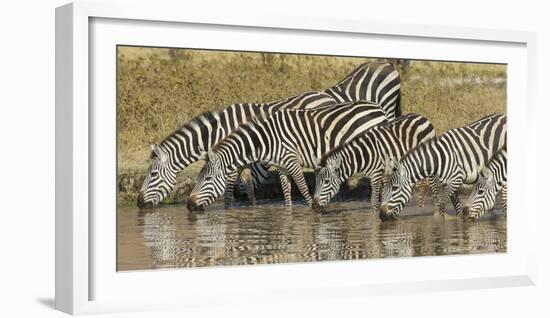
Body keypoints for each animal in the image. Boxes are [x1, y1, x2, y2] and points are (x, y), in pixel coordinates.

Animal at [137, 90, 336, 209]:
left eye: (153, 175)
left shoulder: (231, 161)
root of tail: (326, 96)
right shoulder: (237, 160)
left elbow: (228, 191)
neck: (217, 132)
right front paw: (251, 208)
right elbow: (247, 187)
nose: (138, 203)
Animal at [188, 102, 390, 211]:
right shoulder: (282, 166)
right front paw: (288, 213)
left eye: (207, 178)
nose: (189, 205)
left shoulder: (292, 161)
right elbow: (286, 191)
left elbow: (302, 188)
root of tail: (377, 108)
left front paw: (309, 209)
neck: (266, 141)